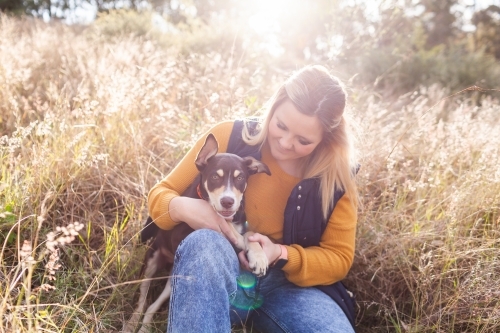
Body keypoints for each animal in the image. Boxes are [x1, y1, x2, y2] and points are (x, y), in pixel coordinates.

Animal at [123, 133, 272, 332]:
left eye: (240, 178)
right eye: (215, 176)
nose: (227, 201)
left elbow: (247, 234)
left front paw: (258, 257)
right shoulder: (183, 232)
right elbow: (225, 230)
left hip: (172, 283)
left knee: (152, 306)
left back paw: (145, 327)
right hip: (151, 263)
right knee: (142, 300)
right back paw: (132, 323)